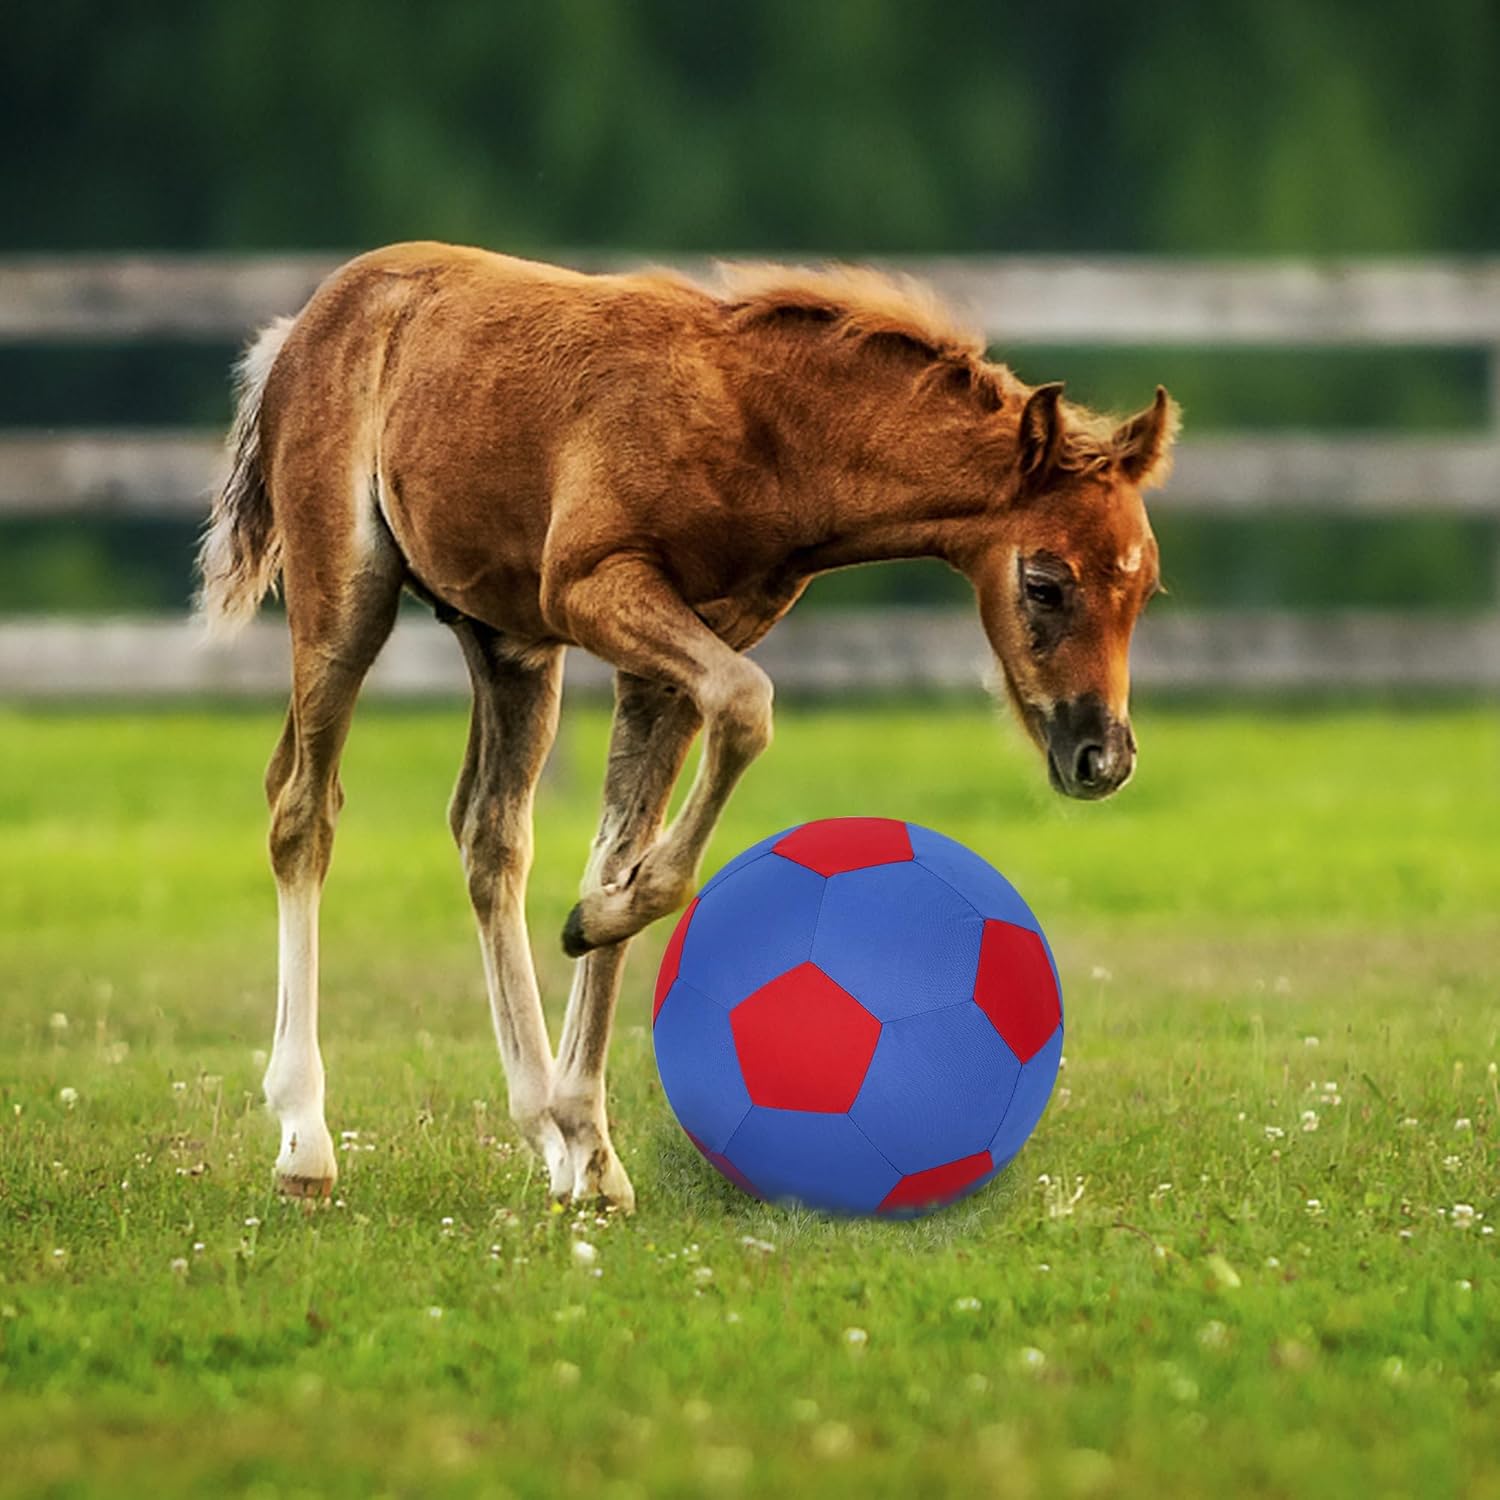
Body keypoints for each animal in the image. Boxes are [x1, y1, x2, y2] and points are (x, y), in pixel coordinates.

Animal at [195, 242, 1177, 1213]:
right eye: (1045, 583)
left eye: (1144, 590)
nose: (1103, 757)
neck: (763, 430)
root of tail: (304, 324)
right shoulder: (597, 587)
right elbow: (746, 708)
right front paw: (594, 933)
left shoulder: (671, 657)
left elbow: (619, 849)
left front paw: (590, 1135)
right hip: (346, 590)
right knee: (302, 808)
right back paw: (306, 1140)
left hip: (509, 642)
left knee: (489, 833)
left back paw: (540, 1127)